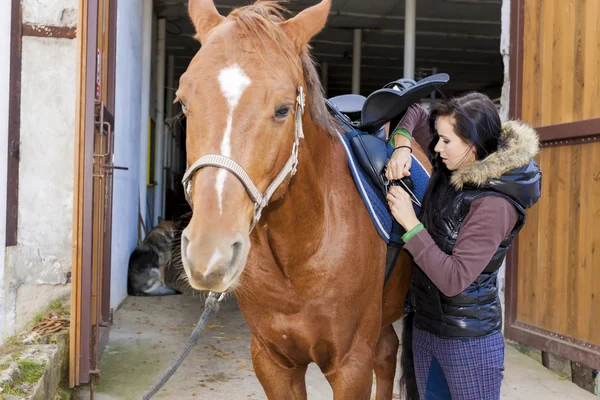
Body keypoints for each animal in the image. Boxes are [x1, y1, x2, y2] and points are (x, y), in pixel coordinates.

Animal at [176, 1, 428, 398]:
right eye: (184, 102)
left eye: (283, 109)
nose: (209, 253)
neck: (303, 250)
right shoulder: (273, 362)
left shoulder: (351, 366)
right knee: (388, 350)